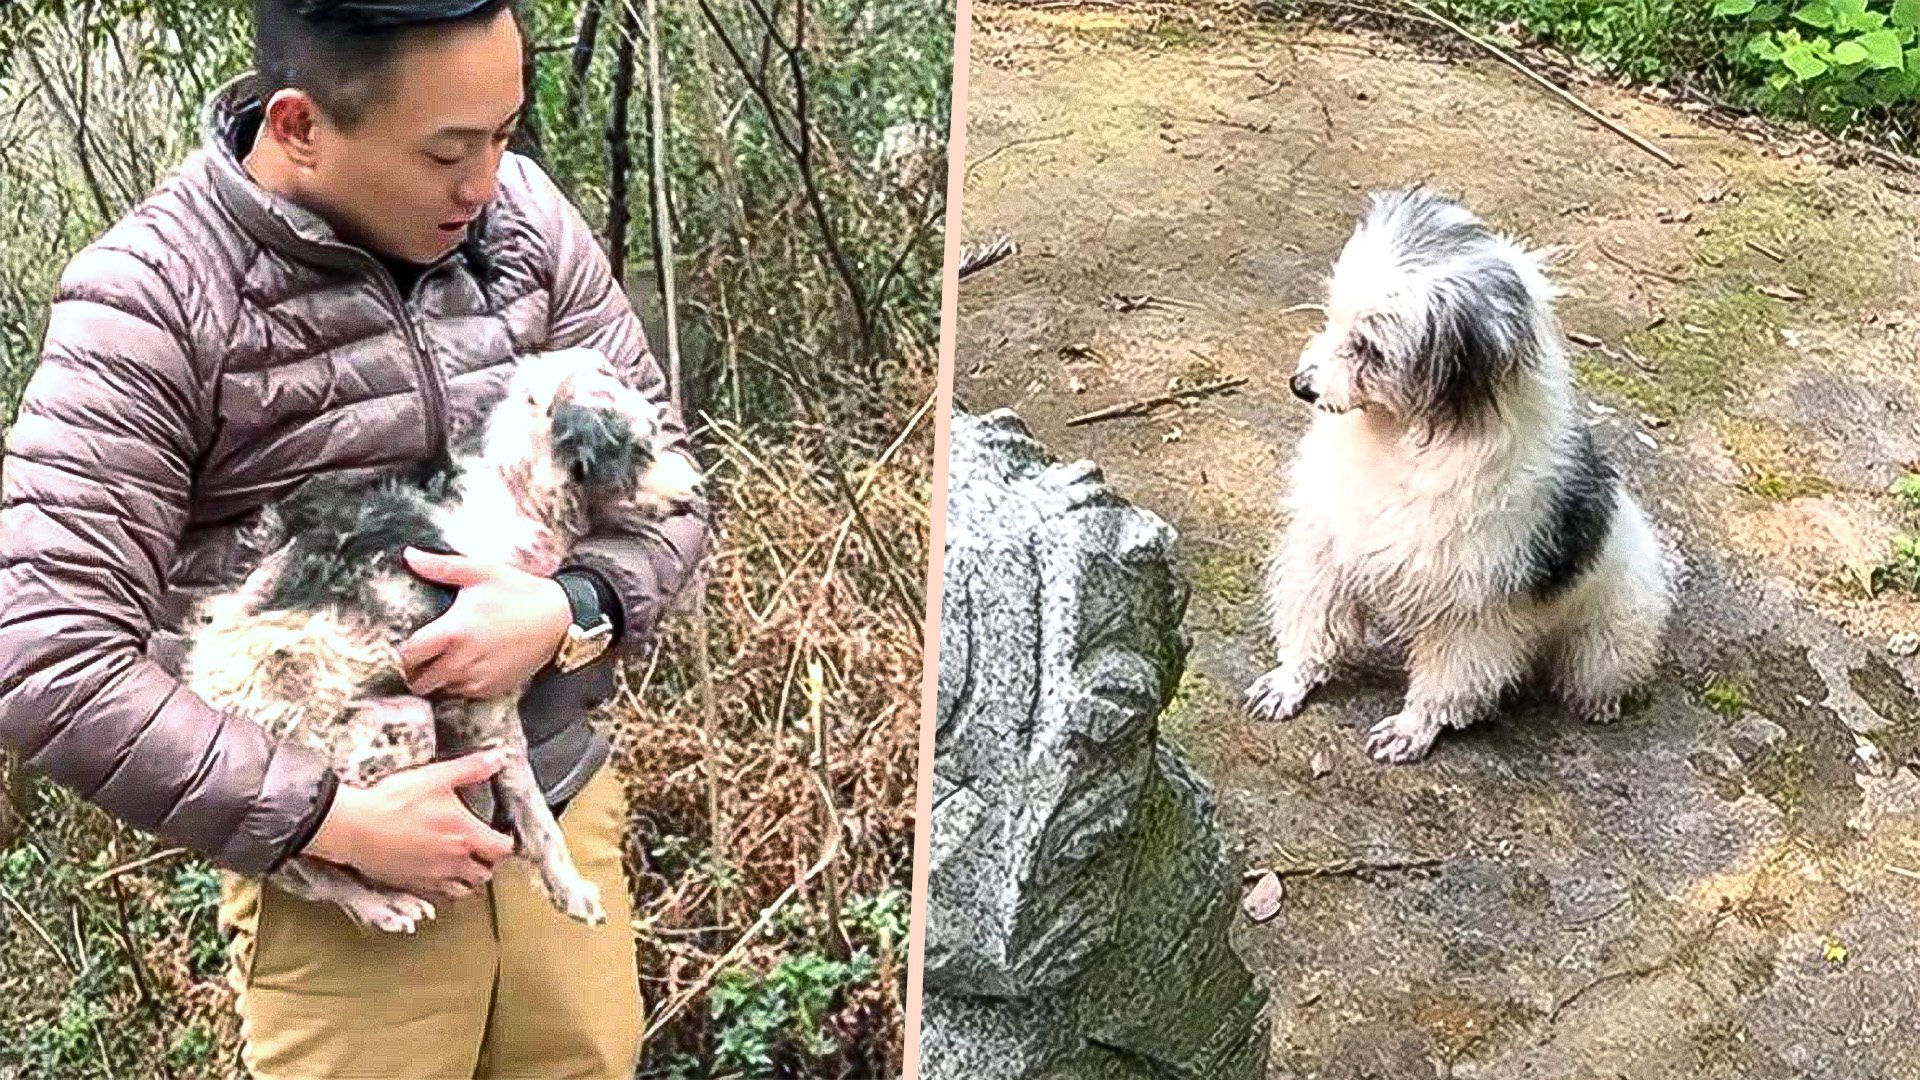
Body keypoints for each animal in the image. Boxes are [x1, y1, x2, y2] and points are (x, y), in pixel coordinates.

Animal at [180, 343, 702, 926]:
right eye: (643, 444)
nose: (697, 490)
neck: (515, 495)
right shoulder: (491, 704)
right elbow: (535, 813)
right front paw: (569, 890)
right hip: (392, 731)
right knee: (305, 866)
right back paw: (382, 904)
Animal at [1244, 191, 1666, 764]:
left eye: (1371, 348)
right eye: (1334, 318)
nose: (1301, 385)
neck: (1402, 442)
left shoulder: (1472, 612)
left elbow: (1446, 682)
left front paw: (1412, 727)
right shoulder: (1327, 551)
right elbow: (1313, 629)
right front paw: (1289, 680)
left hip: (1606, 642)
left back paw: (1601, 703)